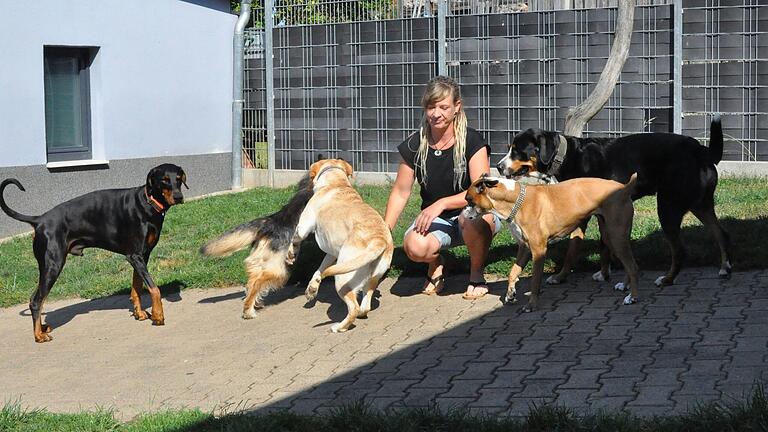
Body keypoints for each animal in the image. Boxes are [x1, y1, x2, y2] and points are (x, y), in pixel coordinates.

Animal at [0, 164, 188, 342]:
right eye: (164, 180)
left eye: (178, 179)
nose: (179, 197)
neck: (147, 203)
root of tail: (40, 220)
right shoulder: (135, 256)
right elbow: (154, 288)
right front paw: (158, 315)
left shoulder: (141, 256)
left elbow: (137, 286)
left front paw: (139, 313)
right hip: (53, 265)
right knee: (36, 301)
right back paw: (39, 336)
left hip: (46, 267)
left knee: (34, 298)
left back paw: (42, 328)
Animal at [288, 160, 396, 332]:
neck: (337, 182)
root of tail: (378, 240)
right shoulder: (332, 254)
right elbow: (320, 269)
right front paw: (312, 287)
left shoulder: (303, 227)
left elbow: (295, 239)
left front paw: (291, 254)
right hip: (371, 278)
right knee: (365, 306)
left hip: (342, 280)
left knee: (354, 308)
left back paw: (339, 327)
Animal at [464, 174, 640, 312]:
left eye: (469, 200)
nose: (463, 214)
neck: (515, 201)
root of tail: (624, 188)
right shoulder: (524, 248)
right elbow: (513, 272)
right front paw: (510, 294)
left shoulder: (538, 251)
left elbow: (535, 281)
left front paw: (531, 305)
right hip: (611, 237)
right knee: (628, 263)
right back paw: (625, 286)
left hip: (616, 236)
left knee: (632, 266)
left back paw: (632, 297)